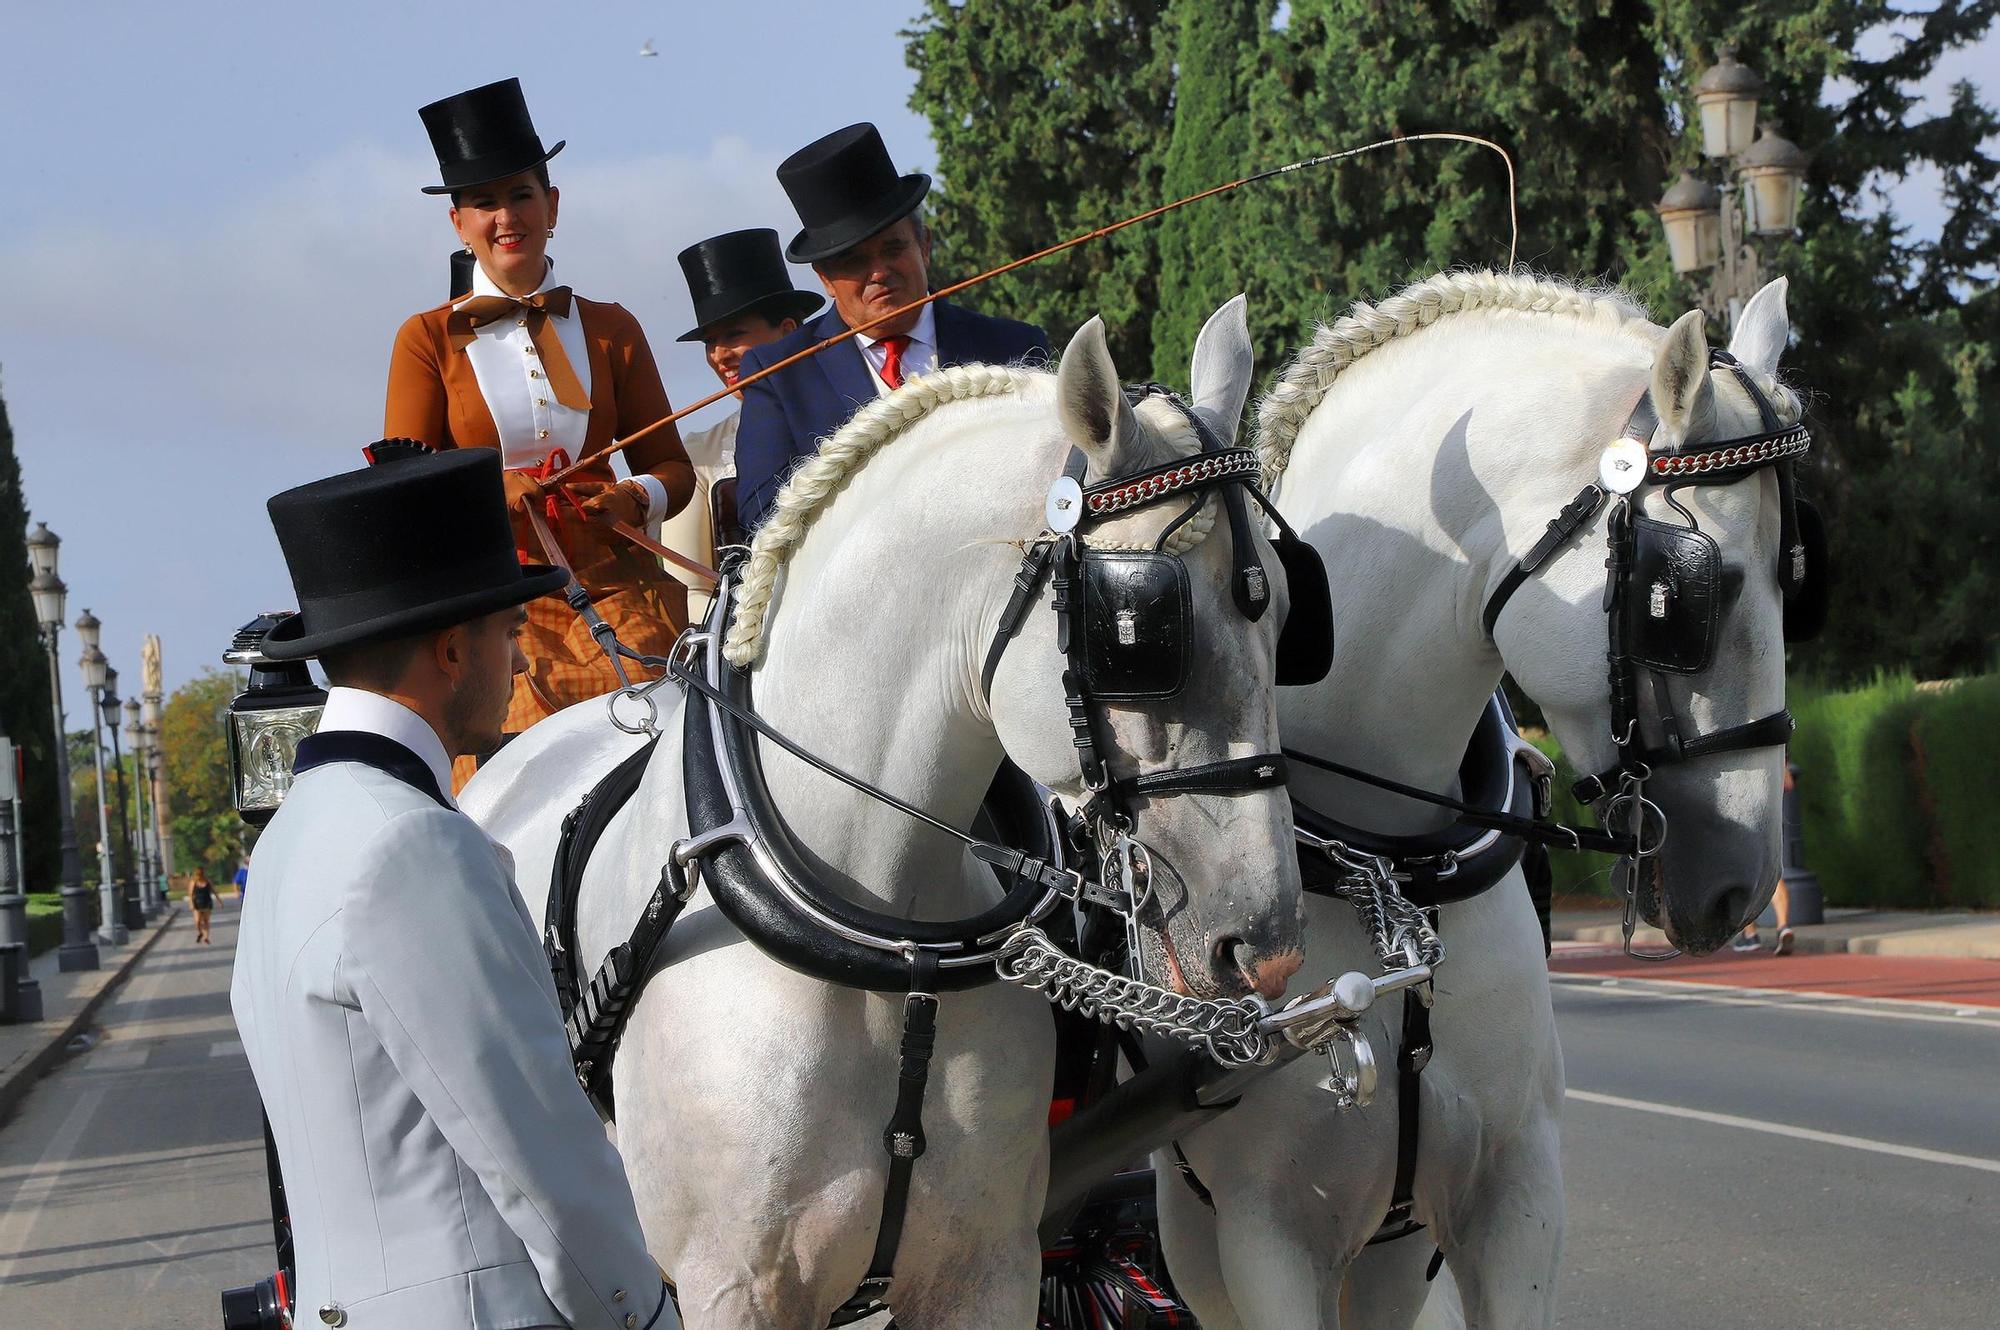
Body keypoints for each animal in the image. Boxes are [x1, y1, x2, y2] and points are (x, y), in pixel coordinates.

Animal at [468, 308, 1312, 1328]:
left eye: (1292, 612)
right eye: (1141, 631)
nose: (1267, 949)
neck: (879, 931)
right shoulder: (732, 1290)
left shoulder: (987, 1268)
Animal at [1152, 272, 1808, 1328]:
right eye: (1687, 593)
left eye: (1802, 574)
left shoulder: (1515, 1196)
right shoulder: (1266, 1236)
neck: (1391, 868)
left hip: (1388, 1254)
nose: (1740, 887)